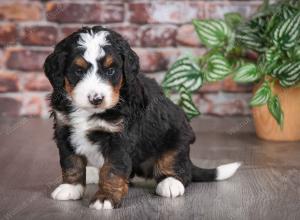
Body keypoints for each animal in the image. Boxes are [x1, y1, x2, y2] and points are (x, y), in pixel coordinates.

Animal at [44, 26, 241, 210]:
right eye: (78, 71)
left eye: (110, 71)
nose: (96, 99)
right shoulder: (64, 129)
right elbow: (71, 162)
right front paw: (71, 187)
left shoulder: (119, 138)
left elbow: (112, 170)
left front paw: (105, 198)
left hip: (178, 136)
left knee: (178, 166)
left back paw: (170, 182)